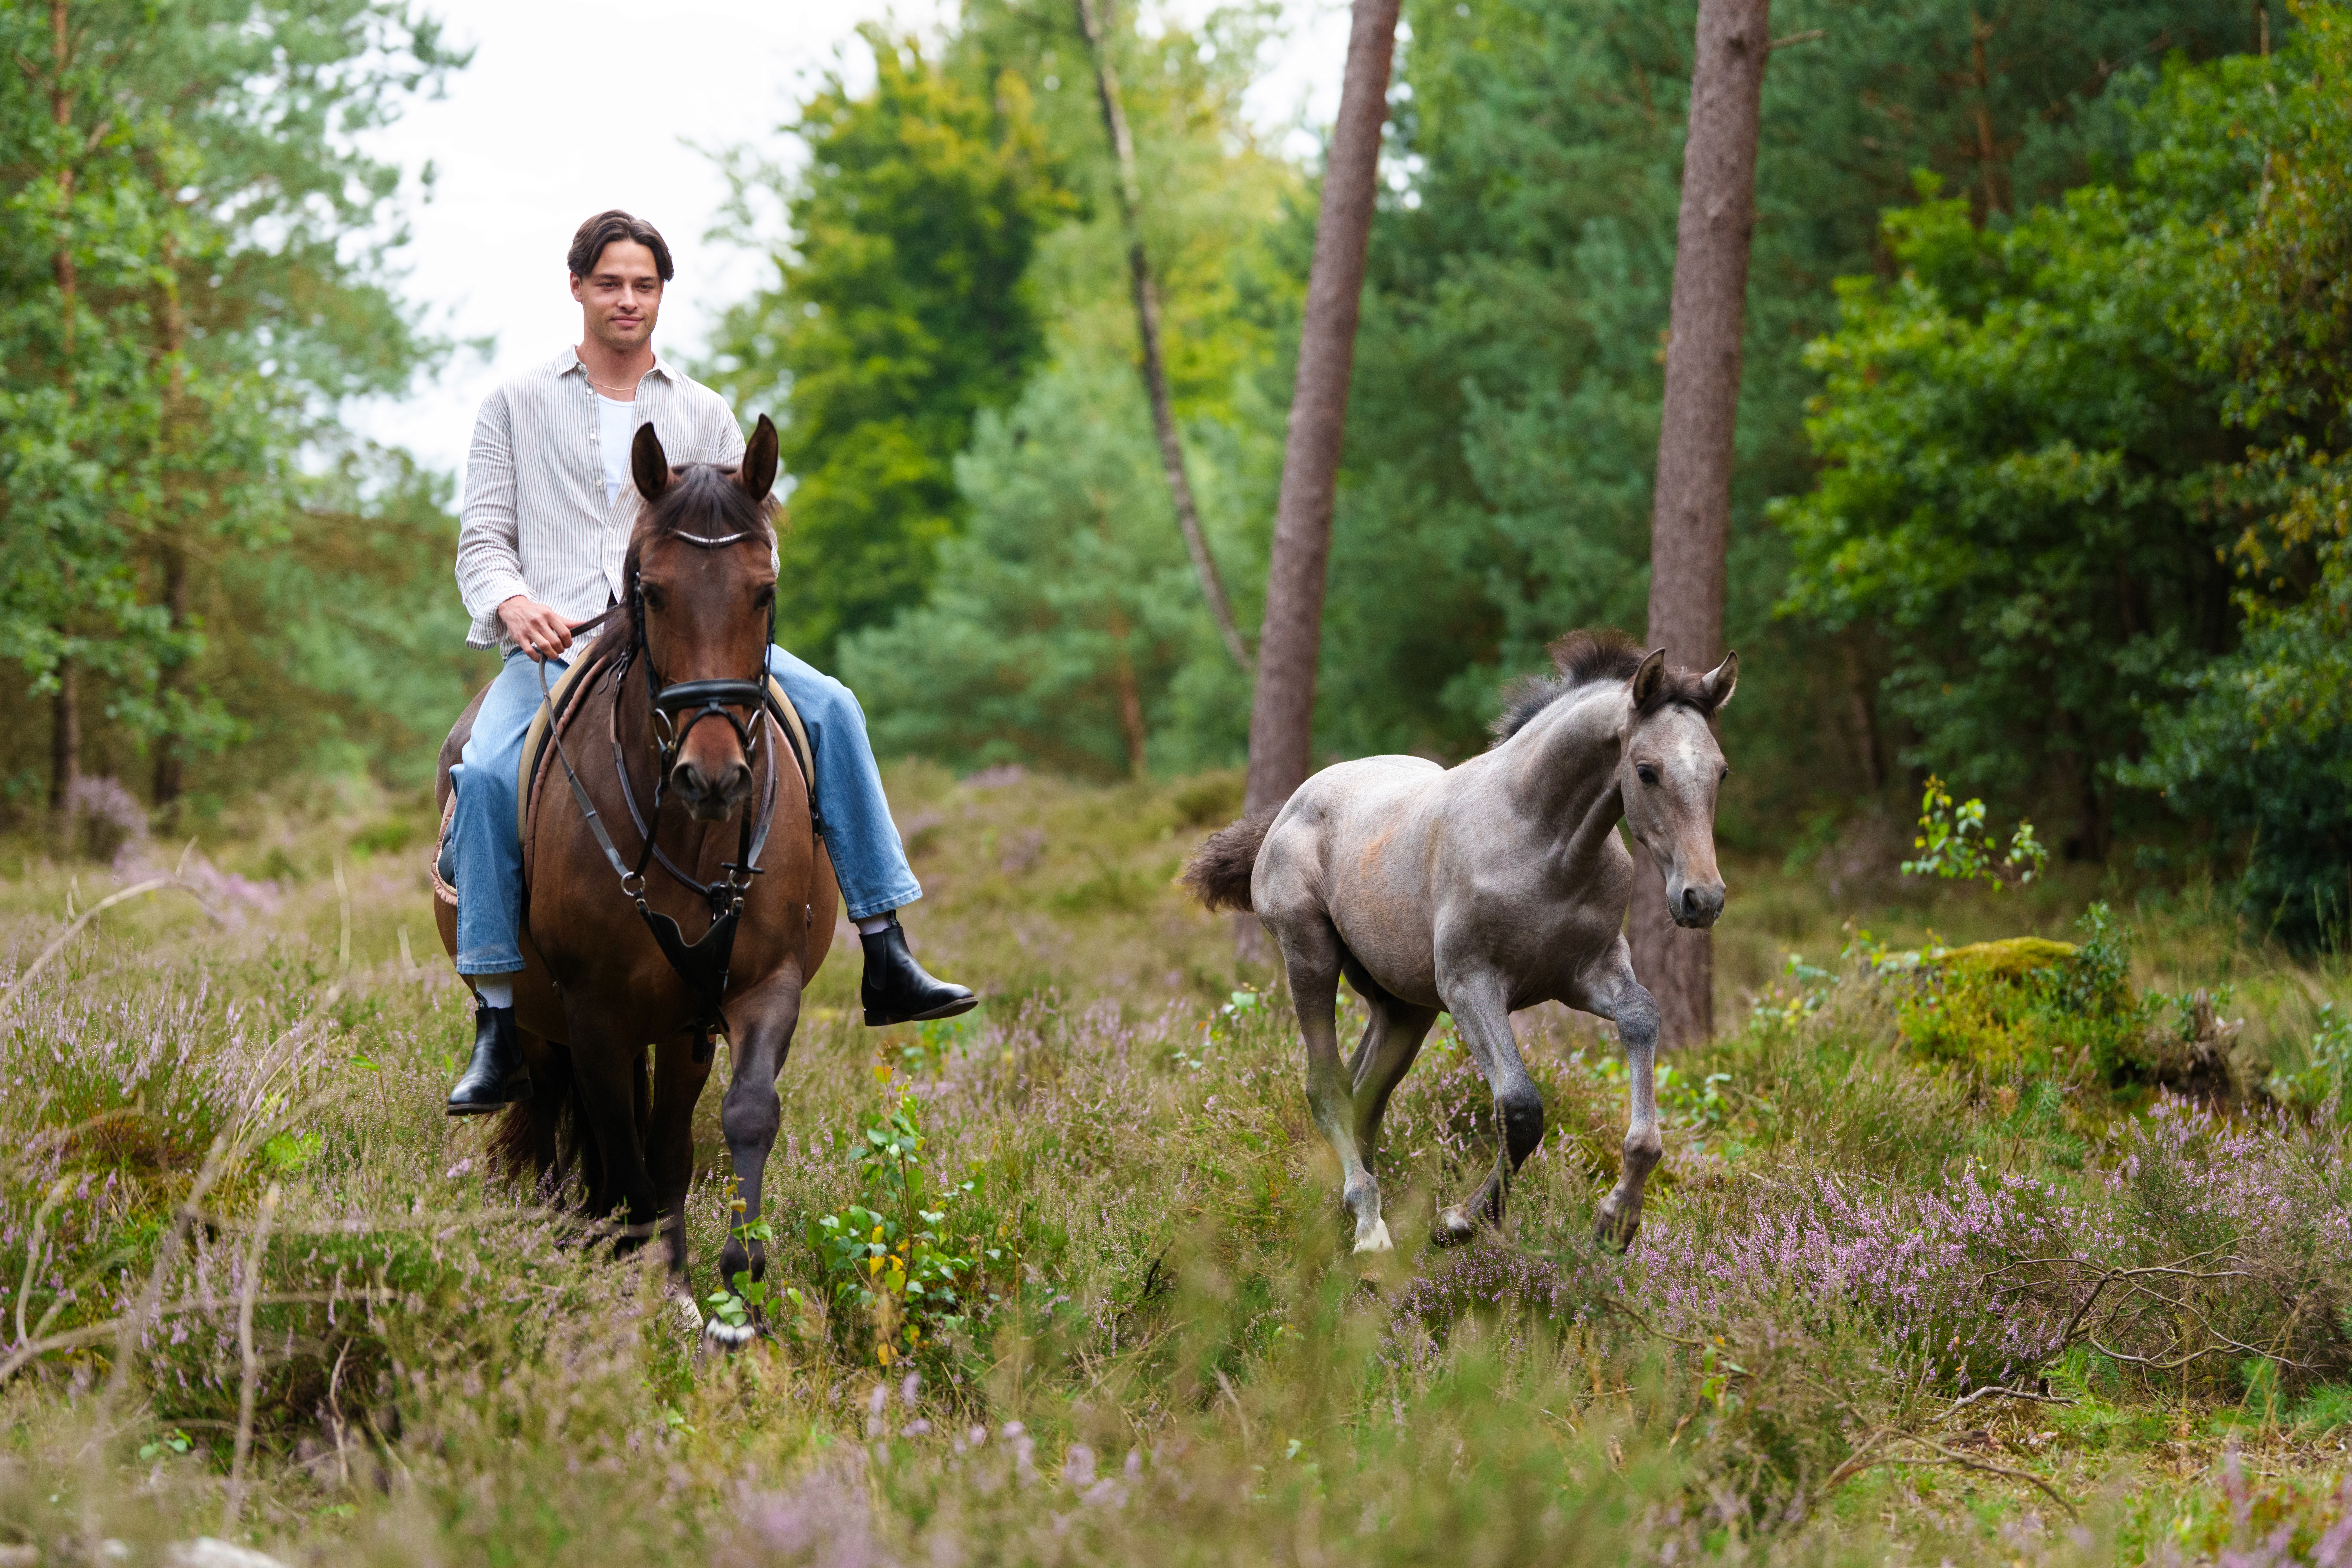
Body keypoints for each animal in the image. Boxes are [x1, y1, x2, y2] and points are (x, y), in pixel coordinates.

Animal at [433, 417, 836, 1337]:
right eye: (650, 591)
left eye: (764, 590)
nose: (712, 775)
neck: (687, 836)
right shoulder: (592, 1012)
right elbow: (618, 1151)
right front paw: (628, 1279)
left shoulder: (751, 989)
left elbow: (732, 1120)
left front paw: (731, 1288)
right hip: (544, 1021)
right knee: (564, 1120)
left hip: (677, 1023)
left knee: (662, 1137)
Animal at [1182, 631, 1737, 1254]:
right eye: (1646, 771)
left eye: (1720, 772)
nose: (1702, 898)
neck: (1543, 843)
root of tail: (1289, 807)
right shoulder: (1471, 984)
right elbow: (1520, 1107)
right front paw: (1462, 1220)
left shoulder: (1588, 975)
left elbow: (1641, 1017)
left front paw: (1617, 1219)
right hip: (1310, 957)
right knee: (1327, 1085)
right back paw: (1368, 1224)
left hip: (1405, 1006)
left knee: (1367, 1088)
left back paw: (1344, 1210)